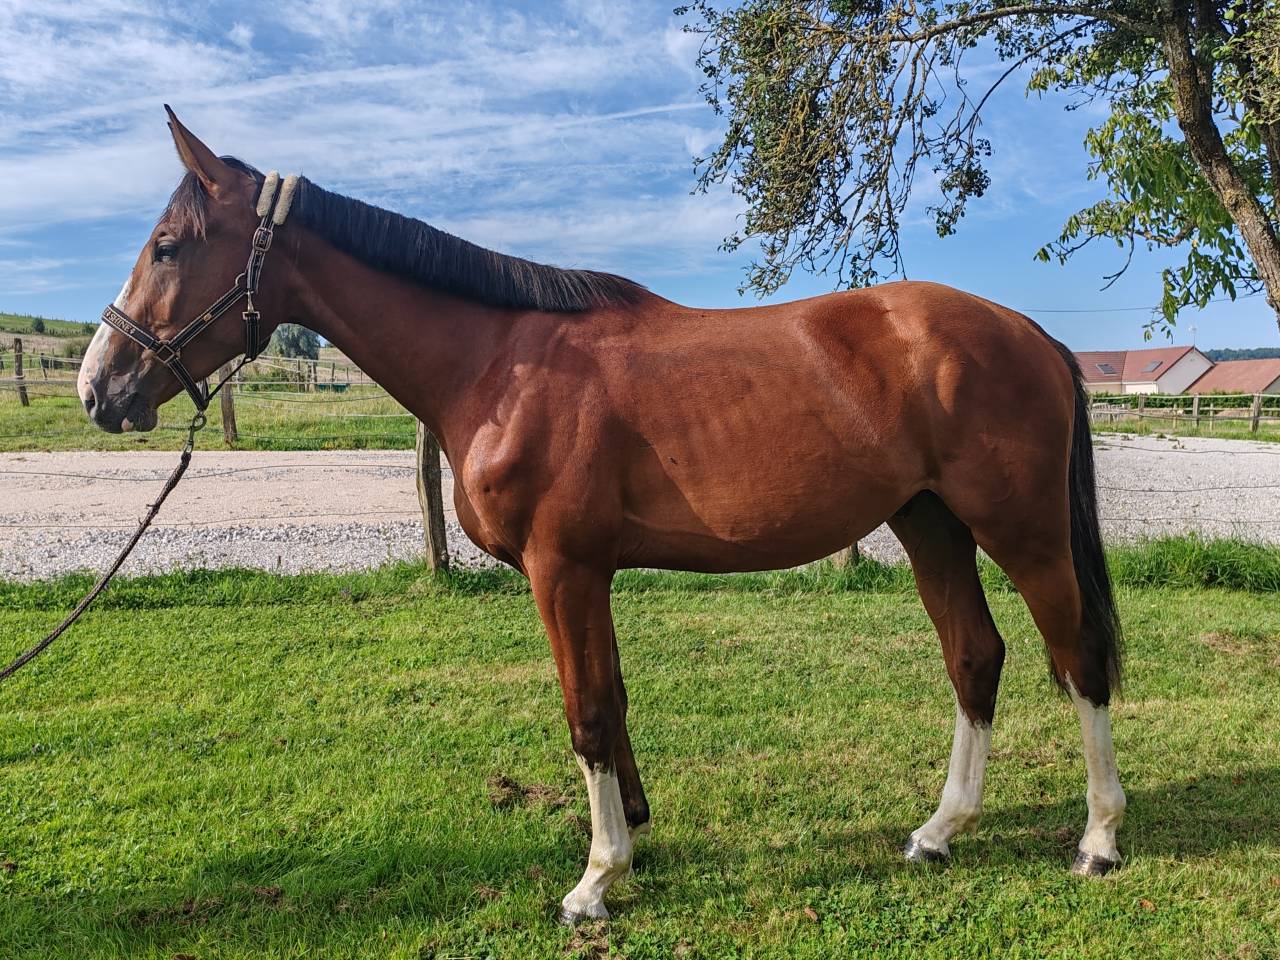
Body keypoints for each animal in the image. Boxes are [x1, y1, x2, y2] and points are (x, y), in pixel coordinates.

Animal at [77, 107, 1126, 924]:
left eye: (168, 247)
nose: (100, 387)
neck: (500, 365)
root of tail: (1027, 332)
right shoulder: (592, 574)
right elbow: (612, 701)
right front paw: (634, 841)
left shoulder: (563, 569)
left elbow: (583, 712)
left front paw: (594, 881)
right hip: (929, 524)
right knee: (974, 657)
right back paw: (940, 831)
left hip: (1020, 530)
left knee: (1075, 658)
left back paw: (1099, 839)